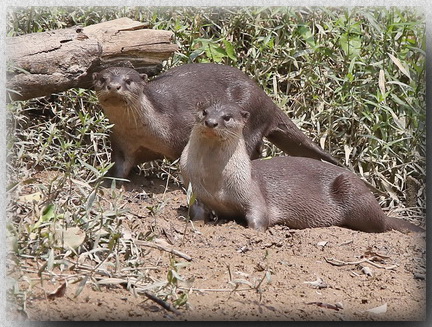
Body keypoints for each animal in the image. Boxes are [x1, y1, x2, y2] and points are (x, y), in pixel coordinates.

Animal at [93, 63, 340, 179]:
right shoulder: (122, 141)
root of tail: (266, 99)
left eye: (129, 80)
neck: (144, 131)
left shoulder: (181, 123)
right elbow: (121, 165)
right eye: (103, 79)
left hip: (249, 116)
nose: (114, 86)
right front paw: (112, 180)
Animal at [179, 102, 422, 233]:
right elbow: (196, 212)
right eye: (205, 112)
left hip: (351, 189)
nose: (211, 122)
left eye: (227, 117)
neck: (215, 181)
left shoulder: (251, 190)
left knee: (379, 225)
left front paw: (253, 231)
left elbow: (259, 215)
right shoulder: (197, 191)